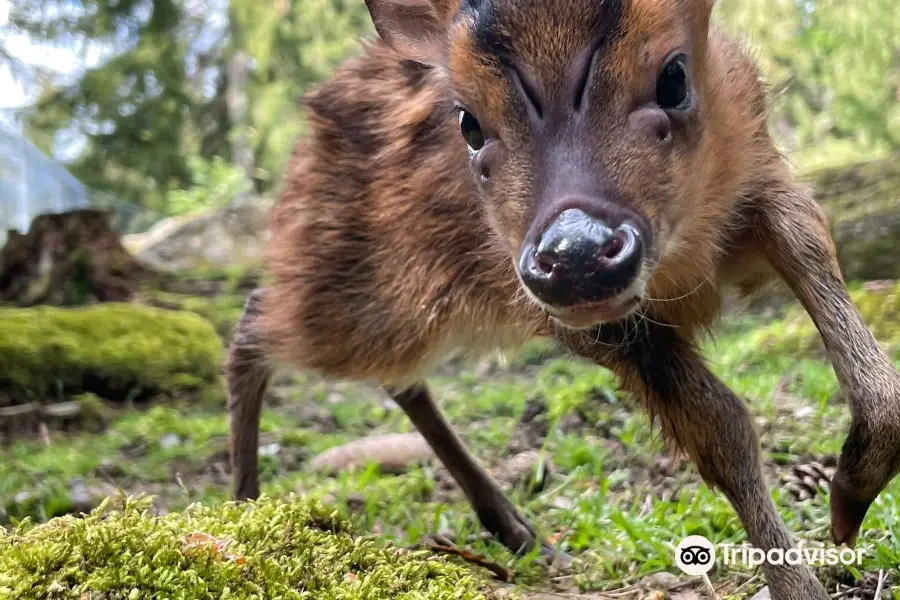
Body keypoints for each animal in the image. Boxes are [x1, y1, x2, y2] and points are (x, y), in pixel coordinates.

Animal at [229, 1, 900, 596]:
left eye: (674, 79)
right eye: (468, 123)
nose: (575, 253)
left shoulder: (758, 178)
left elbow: (818, 262)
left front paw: (849, 497)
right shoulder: (564, 305)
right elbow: (723, 429)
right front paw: (801, 585)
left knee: (397, 378)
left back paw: (517, 530)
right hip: (359, 288)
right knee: (256, 319)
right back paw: (242, 510)